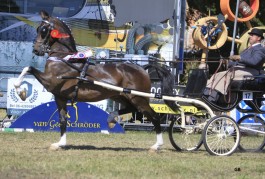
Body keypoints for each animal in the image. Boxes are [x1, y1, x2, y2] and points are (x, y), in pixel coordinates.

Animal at [13, 10, 176, 151]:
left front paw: (20, 91)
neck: (64, 58)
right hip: (122, 96)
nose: (36, 50)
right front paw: (60, 143)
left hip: (139, 98)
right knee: (132, 109)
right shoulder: (60, 97)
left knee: (154, 116)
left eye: (43, 30)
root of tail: (143, 69)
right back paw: (111, 118)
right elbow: (62, 120)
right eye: (38, 28)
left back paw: (156, 146)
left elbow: (28, 68)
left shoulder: (51, 81)